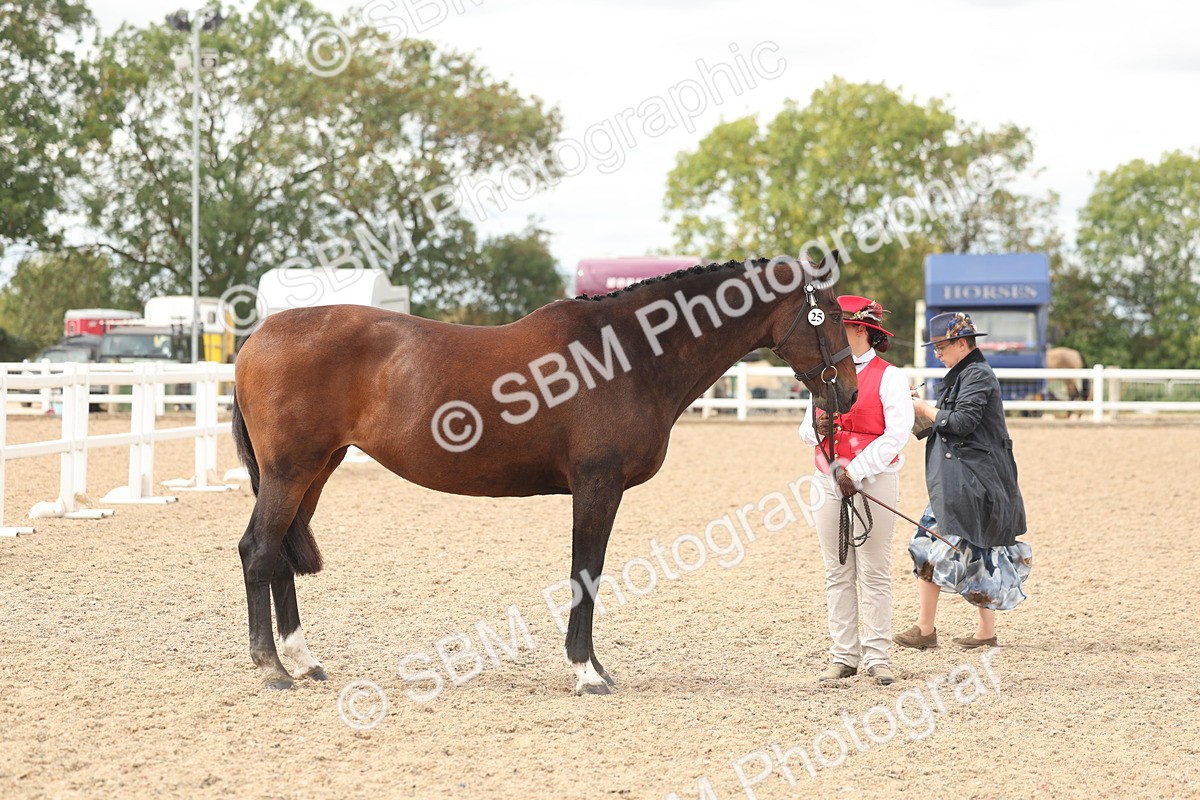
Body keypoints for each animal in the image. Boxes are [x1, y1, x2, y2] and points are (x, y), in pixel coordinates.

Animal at [230, 255, 859, 694]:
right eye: (827, 314)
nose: (849, 393)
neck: (627, 354)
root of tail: (256, 339)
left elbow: (592, 575)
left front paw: (596, 666)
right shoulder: (597, 485)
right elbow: (587, 571)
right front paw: (586, 673)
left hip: (316, 470)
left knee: (280, 551)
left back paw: (303, 660)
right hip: (290, 472)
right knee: (258, 548)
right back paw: (271, 666)